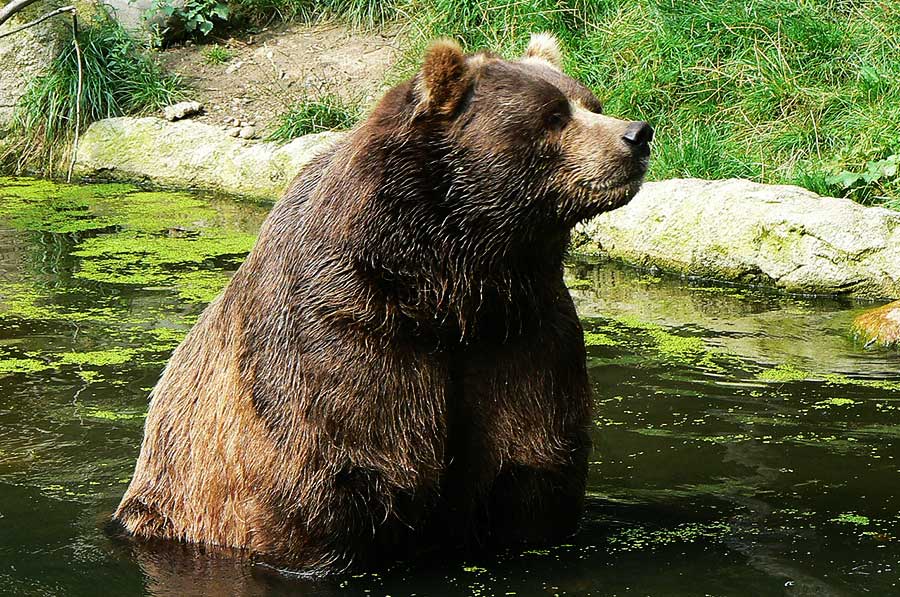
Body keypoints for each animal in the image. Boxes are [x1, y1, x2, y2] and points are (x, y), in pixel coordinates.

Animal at [113, 32, 653, 573]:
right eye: (553, 115)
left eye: (590, 102)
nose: (637, 134)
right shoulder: (345, 333)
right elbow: (334, 478)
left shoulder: (525, 332)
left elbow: (532, 464)